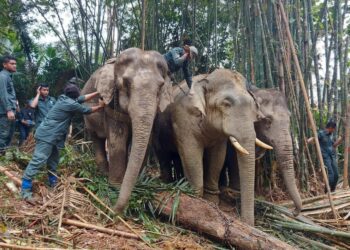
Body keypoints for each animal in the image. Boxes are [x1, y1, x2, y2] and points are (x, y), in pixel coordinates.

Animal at [81, 47, 171, 213]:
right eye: (126, 83)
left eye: (161, 87)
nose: (114, 209)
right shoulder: (111, 104)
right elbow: (118, 140)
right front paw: (115, 187)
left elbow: (146, 142)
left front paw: (139, 184)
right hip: (88, 119)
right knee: (97, 139)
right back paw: (104, 173)